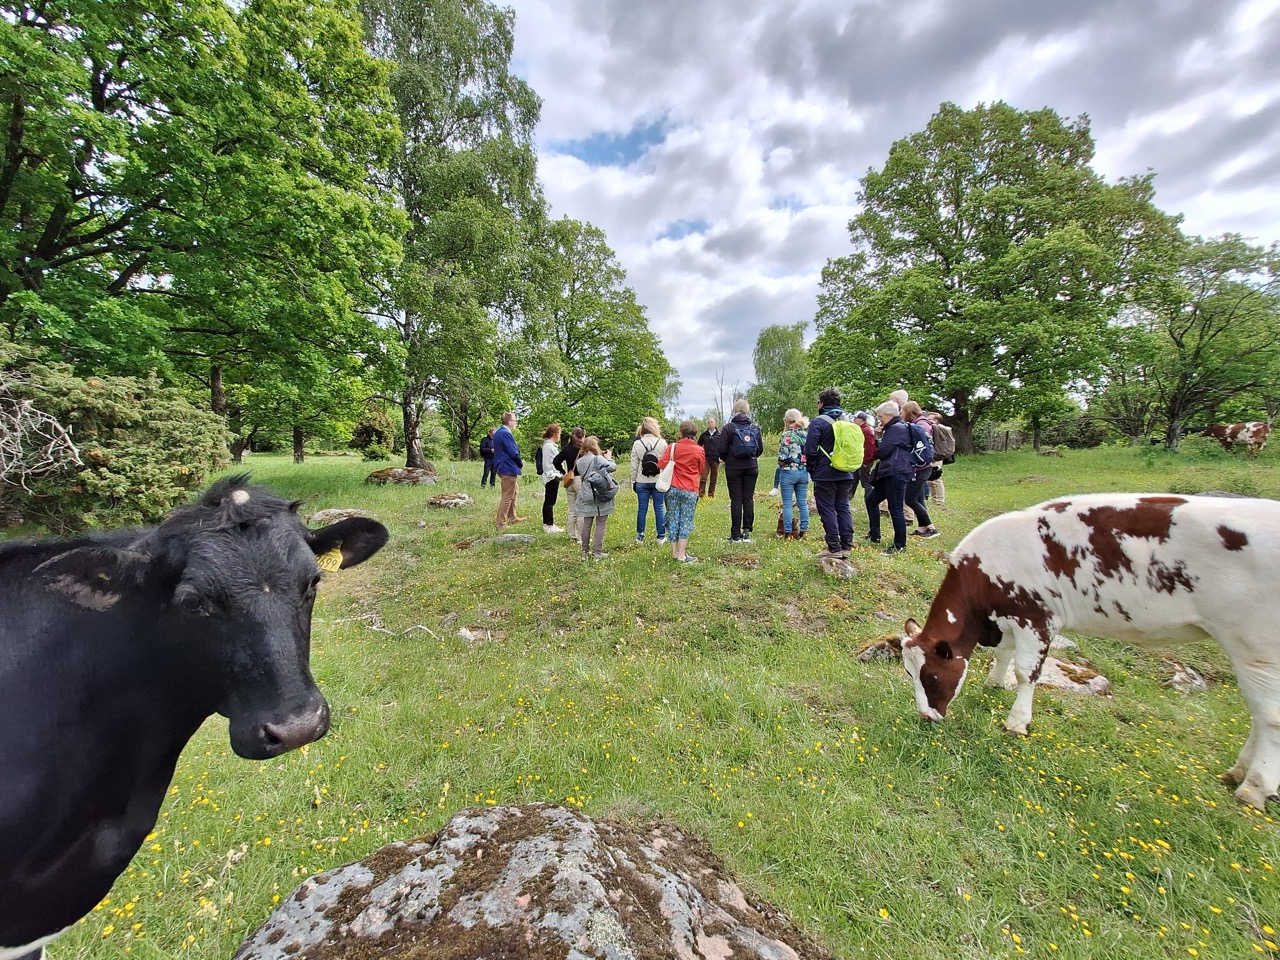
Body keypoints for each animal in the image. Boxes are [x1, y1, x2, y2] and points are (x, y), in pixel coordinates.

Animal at [901, 496, 1280, 814]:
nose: (926, 716)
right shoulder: (1010, 616)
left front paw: (1017, 722)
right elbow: (1004, 654)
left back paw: (1254, 788)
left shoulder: (1035, 617)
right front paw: (994, 683)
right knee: (1259, 713)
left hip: (1255, 643)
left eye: (931, 675)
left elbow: (1026, 671)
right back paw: (1238, 772)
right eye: (908, 673)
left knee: (1269, 715)